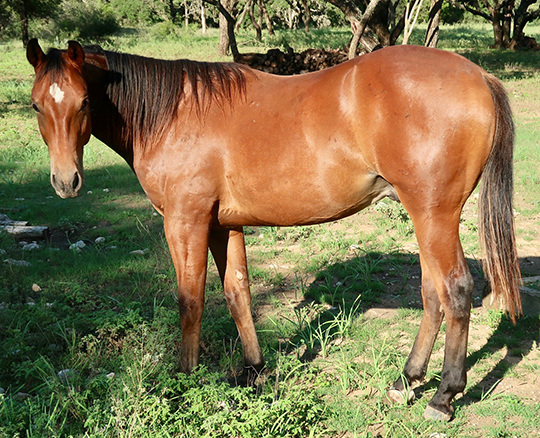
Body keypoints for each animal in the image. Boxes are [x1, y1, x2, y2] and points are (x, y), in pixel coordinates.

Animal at [27, 39, 520, 422]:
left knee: (456, 291)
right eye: (36, 104)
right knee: (432, 294)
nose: (66, 182)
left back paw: (443, 395)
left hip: (434, 215)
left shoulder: (186, 221)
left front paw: (183, 381)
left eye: (83, 102)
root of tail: (478, 76)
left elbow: (190, 301)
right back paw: (406, 379)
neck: (174, 114)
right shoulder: (224, 226)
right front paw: (254, 371)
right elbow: (237, 293)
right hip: (423, 217)